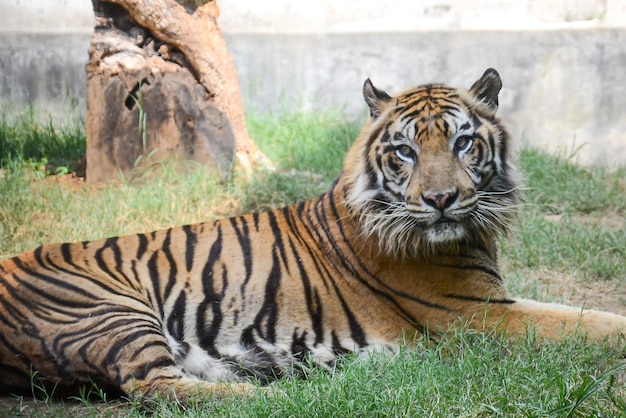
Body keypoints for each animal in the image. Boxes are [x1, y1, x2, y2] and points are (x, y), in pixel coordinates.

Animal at [1, 69, 624, 402]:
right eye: (405, 151)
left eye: (463, 142)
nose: (441, 200)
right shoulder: (479, 314)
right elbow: (593, 324)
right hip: (110, 308)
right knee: (153, 386)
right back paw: (272, 398)